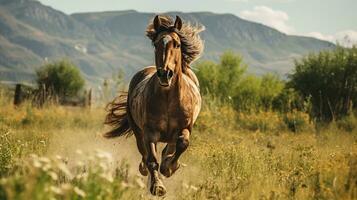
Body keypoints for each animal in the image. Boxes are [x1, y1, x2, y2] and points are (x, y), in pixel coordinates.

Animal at [103, 15, 203, 197]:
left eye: (177, 44)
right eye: (156, 44)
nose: (165, 74)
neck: (169, 99)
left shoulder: (185, 128)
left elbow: (182, 144)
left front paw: (169, 167)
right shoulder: (150, 133)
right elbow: (151, 160)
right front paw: (158, 186)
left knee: (169, 148)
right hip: (138, 130)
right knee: (144, 152)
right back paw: (145, 170)